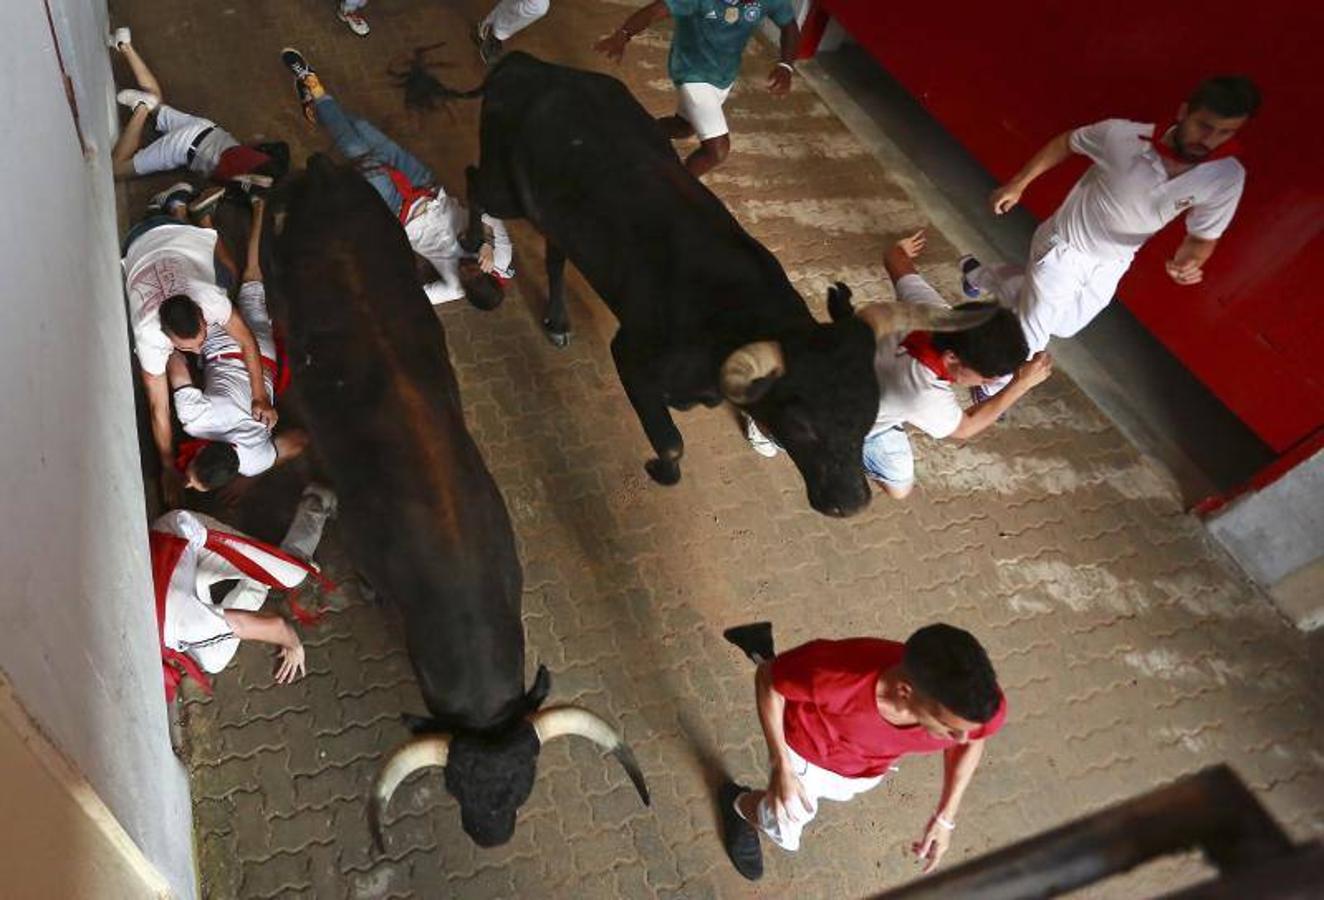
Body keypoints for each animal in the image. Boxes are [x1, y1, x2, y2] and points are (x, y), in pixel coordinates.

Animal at [407, 52, 990, 516]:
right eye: (803, 426)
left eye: (869, 420)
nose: (851, 503)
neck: (734, 318)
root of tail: (532, 65)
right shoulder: (632, 357)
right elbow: (671, 444)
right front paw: (659, 468)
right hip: (506, 187)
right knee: (472, 179)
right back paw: (471, 235)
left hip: (556, 216)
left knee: (553, 252)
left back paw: (556, 319)